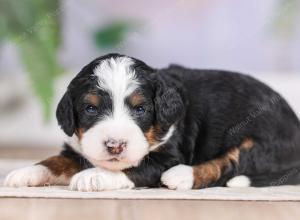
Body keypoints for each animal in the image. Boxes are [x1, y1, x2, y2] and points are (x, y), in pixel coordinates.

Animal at [4, 53, 300, 191]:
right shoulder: (76, 147)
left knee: (229, 164)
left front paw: (94, 176)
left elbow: (134, 167)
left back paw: (181, 176)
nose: (114, 145)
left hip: (260, 142)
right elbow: (54, 160)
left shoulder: (168, 155)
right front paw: (24, 172)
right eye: (90, 108)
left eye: (141, 108)